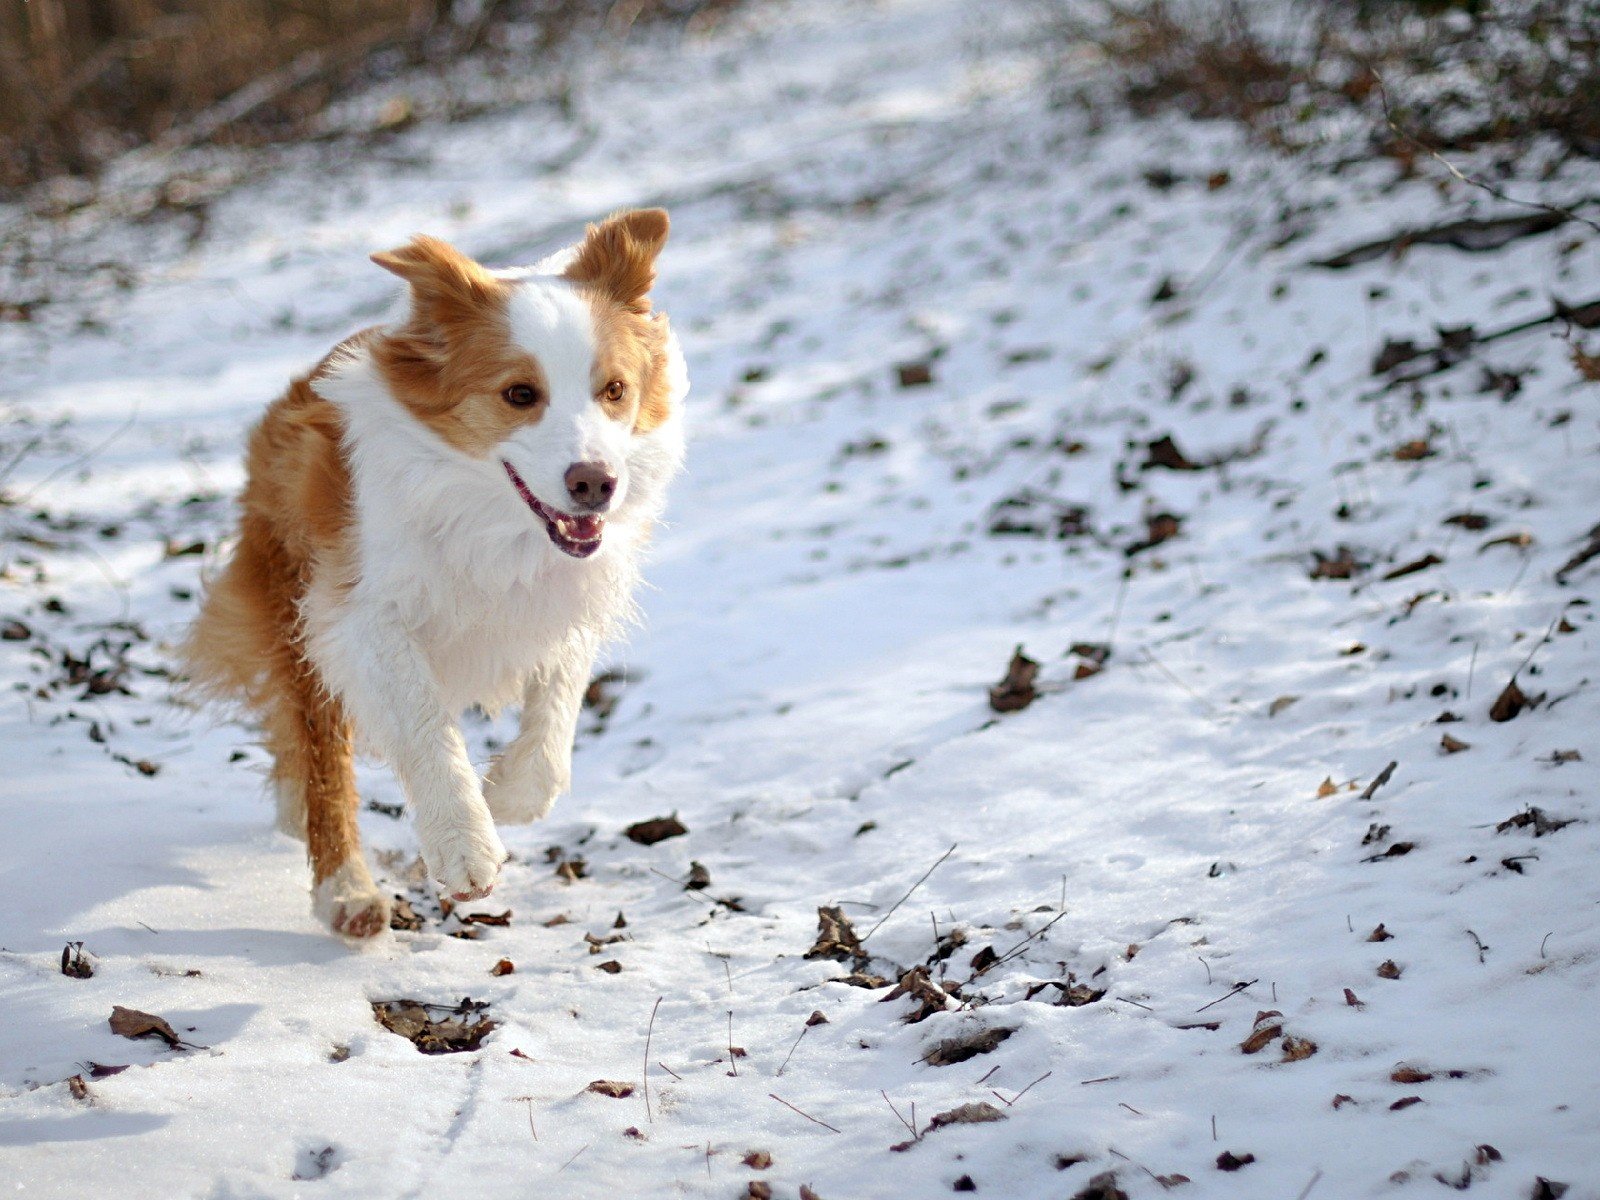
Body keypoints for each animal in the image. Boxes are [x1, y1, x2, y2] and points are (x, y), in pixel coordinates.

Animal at [187, 209, 688, 940]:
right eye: (519, 394)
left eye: (614, 390)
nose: (595, 483)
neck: (489, 516)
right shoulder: (358, 614)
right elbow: (423, 720)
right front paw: (465, 845)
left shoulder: (568, 594)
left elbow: (559, 700)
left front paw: (510, 795)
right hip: (295, 609)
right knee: (323, 760)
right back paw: (347, 892)